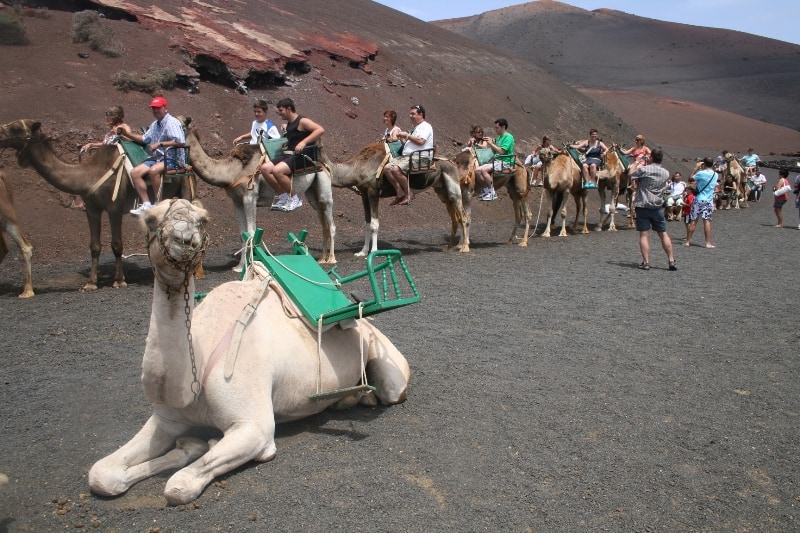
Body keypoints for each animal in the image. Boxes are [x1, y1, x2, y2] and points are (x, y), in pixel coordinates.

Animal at [90, 198, 410, 502]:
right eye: (150, 219)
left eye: (202, 219)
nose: (184, 239)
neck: (199, 362)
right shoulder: (166, 420)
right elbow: (101, 474)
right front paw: (190, 446)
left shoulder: (254, 427)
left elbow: (179, 486)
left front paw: (202, 448)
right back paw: (351, 398)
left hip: (389, 365)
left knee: (391, 390)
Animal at [180, 116, 336, 266]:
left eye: (180, 125)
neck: (231, 171)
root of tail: (321, 160)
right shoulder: (237, 201)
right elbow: (242, 233)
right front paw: (239, 266)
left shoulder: (250, 197)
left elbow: (251, 231)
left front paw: (250, 263)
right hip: (312, 193)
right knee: (323, 223)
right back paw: (322, 258)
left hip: (324, 190)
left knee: (331, 224)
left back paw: (331, 259)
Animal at [320, 143, 468, 256]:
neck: (357, 167)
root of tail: (452, 163)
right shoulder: (364, 195)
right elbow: (367, 224)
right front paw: (362, 252)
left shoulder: (374, 192)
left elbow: (374, 224)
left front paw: (374, 251)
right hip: (441, 190)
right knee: (455, 218)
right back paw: (448, 247)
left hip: (454, 188)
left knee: (463, 216)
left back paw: (464, 247)